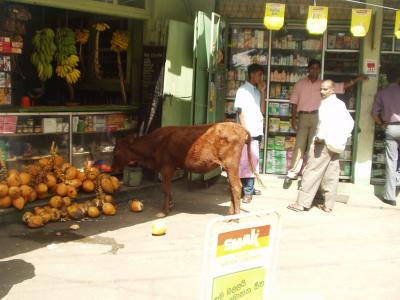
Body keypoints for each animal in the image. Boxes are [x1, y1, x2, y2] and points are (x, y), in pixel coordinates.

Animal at [112, 122, 256, 216]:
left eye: (116, 151)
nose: (112, 168)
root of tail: (239, 127)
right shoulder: (171, 167)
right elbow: (168, 188)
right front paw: (170, 206)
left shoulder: (166, 166)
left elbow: (166, 189)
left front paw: (163, 212)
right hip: (230, 166)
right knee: (233, 186)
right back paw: (231, 212)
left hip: (231, 163)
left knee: (236, 186)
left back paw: (235, 217)